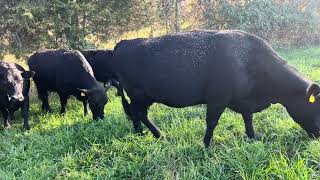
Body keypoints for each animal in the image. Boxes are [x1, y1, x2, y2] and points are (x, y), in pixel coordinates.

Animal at [113, 30, 320, 147]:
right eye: (315, 108)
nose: (318, 137)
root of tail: (123, 43)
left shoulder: (244, 100)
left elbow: (248, 119)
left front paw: (253, 137)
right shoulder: (218, 98)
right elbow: (212, 122)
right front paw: (206, 144)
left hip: (143, 97)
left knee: (136, 113)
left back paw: (143, 134)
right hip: (139, 94)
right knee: (139, 113)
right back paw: (154, 134)